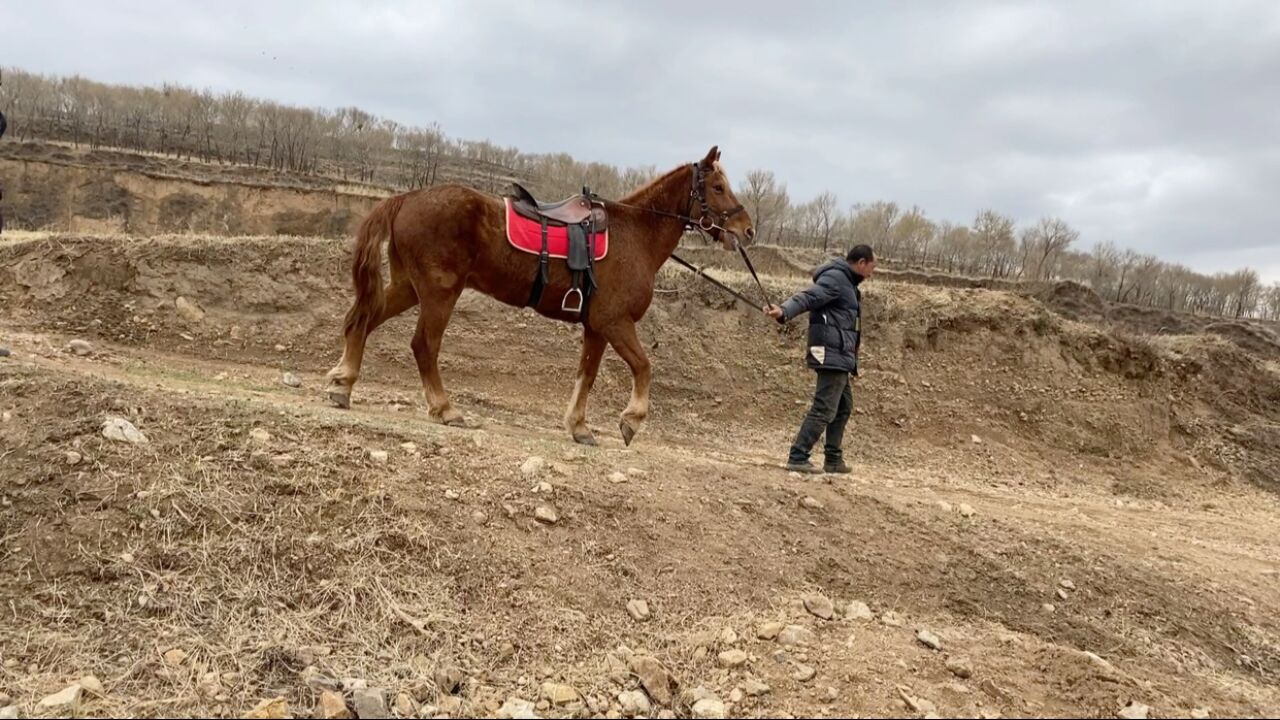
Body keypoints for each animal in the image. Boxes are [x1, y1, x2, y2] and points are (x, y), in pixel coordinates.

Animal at [325, 144, 752, 443]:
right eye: (718, 187)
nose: (746, 230)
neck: (634, 234)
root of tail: (407, 198)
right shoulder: (615, 322)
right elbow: (644, 367)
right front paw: (631, 420)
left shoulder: (596, 328)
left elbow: (587, 375)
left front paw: (579, 426)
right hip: (439, 293)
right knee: (423, 346)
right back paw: (445, 409)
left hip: (409, 288)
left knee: (363, 320)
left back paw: (343, 384)